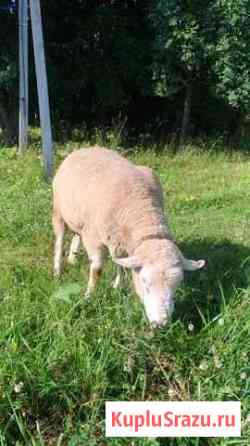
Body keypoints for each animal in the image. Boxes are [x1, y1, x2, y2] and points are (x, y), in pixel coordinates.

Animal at [51, 146, 204, 328]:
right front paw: (89, 297)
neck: (140, 206)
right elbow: (97, 270)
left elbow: (122, 265)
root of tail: (86, 148)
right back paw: (57, 271)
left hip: (78, 217)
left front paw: (117, 286)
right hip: (59, 211)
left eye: (176, 286)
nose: (160, 323)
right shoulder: (94, 238)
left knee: (76, 234)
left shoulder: (120, 241)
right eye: (145, 283)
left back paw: (72, 259)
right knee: (59, 240)